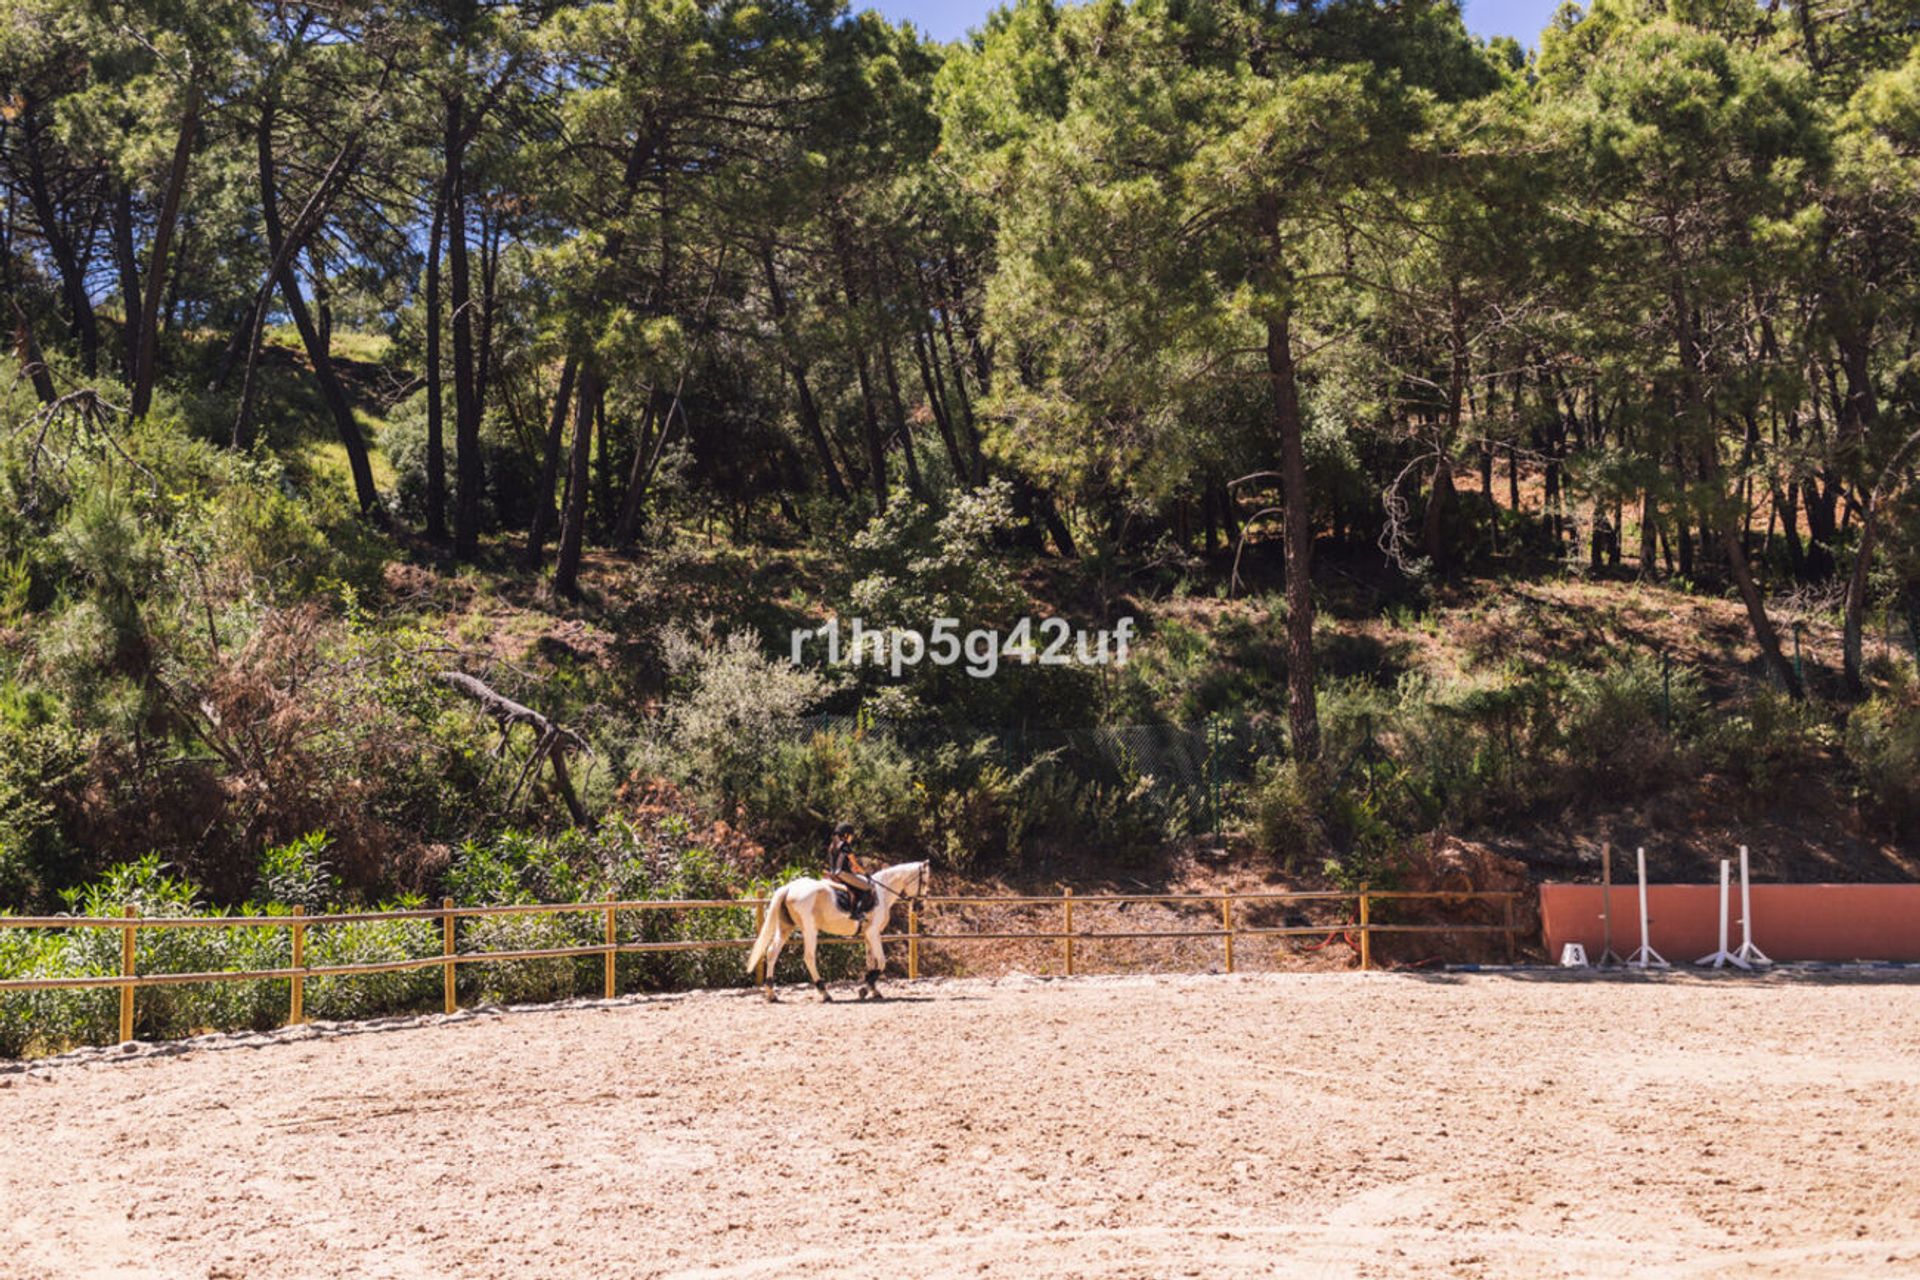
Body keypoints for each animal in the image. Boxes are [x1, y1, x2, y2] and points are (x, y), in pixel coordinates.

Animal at [741, 859, 929, 997]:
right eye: (925, 882)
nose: (919, 907)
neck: (882, 893)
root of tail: (789, 887)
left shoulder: (867, 935)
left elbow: (870, 963)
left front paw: (872, 989)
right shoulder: (873, 933)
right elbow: (882, 962)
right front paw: (865, 989)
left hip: (785, 927)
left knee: (772, 952)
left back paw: (771, 993)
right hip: (810, 929)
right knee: (809, 957)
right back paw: (824, 992)